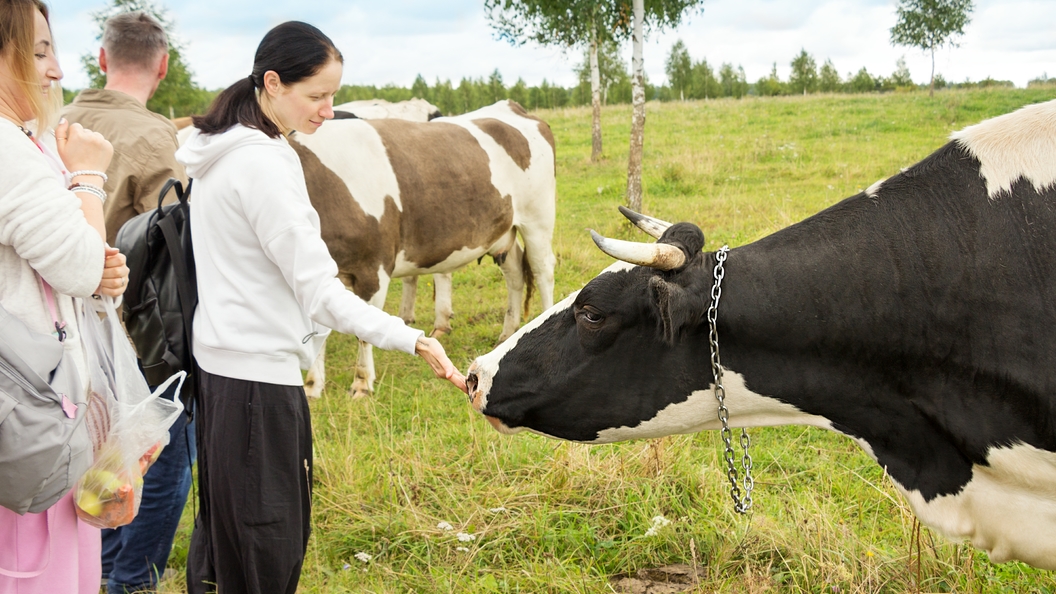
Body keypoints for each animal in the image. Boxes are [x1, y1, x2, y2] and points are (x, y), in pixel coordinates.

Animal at [293, 99, 557, 397]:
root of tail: (511, 106)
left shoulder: (373, 267)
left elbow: (363, 333)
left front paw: (361, 383)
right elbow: (318, 333)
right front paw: (313, 385)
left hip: (537, 218)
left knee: (542, 271)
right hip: (502, 231)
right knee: (515, 275)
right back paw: (506, 334)